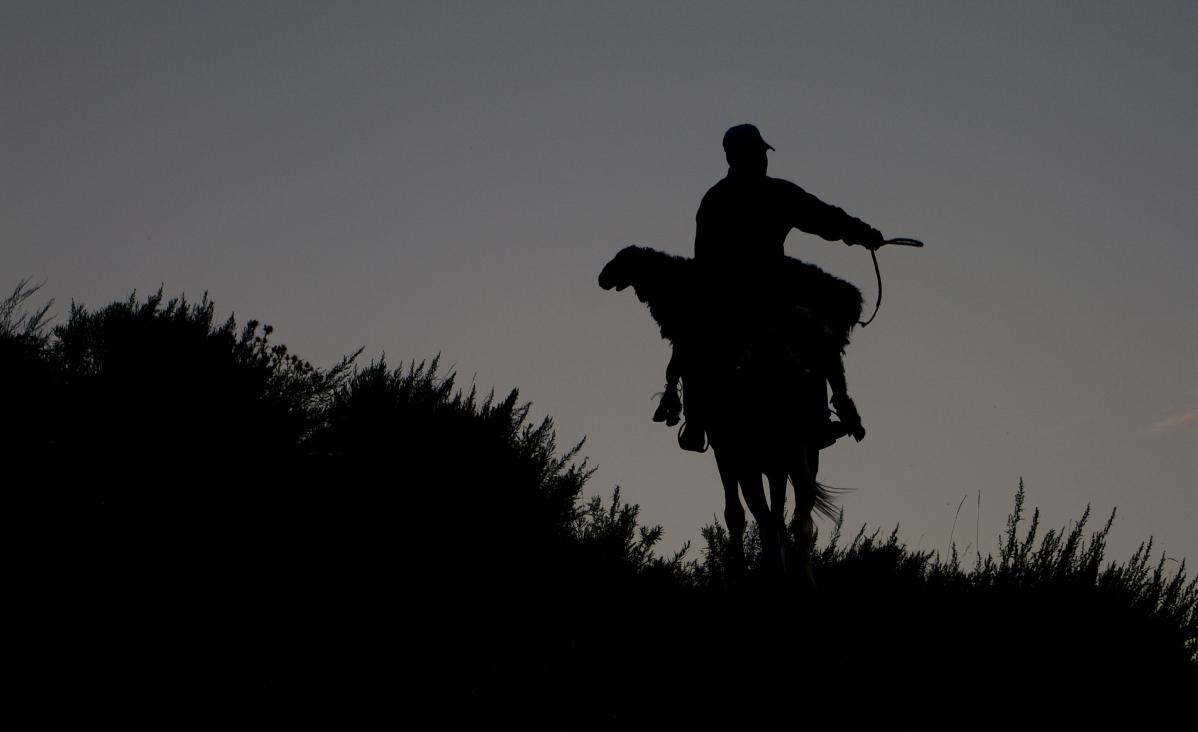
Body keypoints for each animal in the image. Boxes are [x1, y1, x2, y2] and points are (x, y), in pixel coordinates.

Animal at [599, 246, 862, 584]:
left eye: (624, 260)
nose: (604, 276)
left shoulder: (727, 451)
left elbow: (737, 513)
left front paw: (739, 569)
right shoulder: (773, 461)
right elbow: (776, 512)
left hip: (752, 450)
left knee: (768, 514)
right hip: (804, 446)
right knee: (798, 512)